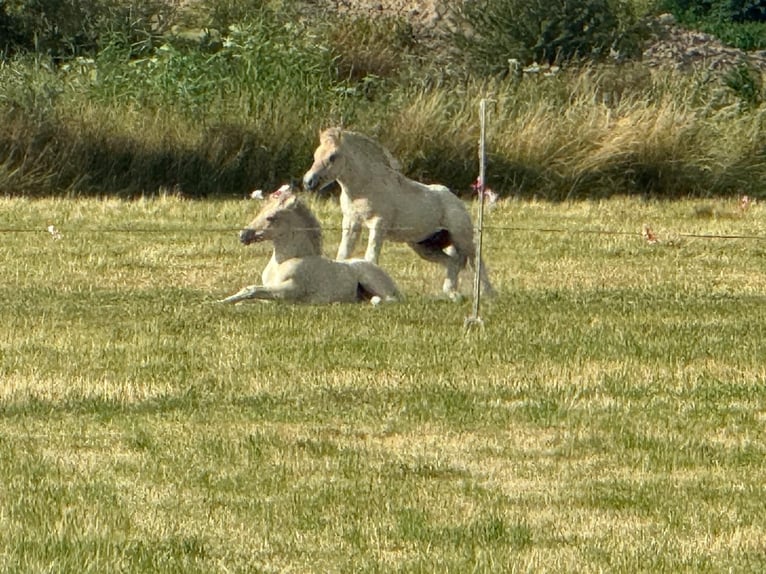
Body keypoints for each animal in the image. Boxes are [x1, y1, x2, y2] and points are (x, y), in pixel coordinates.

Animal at [219, 186, 401, 305]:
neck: (284, 262)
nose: (243, 235)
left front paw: (217, 303)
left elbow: (251, 289)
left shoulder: (291, 290)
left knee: (388, 299)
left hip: (372, 281)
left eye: (271, 217)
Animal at [302, 127, 495, 301]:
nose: (308, 182)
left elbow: (370, 256)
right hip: (424, 246)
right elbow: (342, 255)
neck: (365, 186)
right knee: (452, 262)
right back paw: (451, 293)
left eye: (332, 156)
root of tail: (455, 200)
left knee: (476, 259)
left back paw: (488, 294)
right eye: (315, 154)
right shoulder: (351, 223)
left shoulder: (378, 224)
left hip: (461, 237)